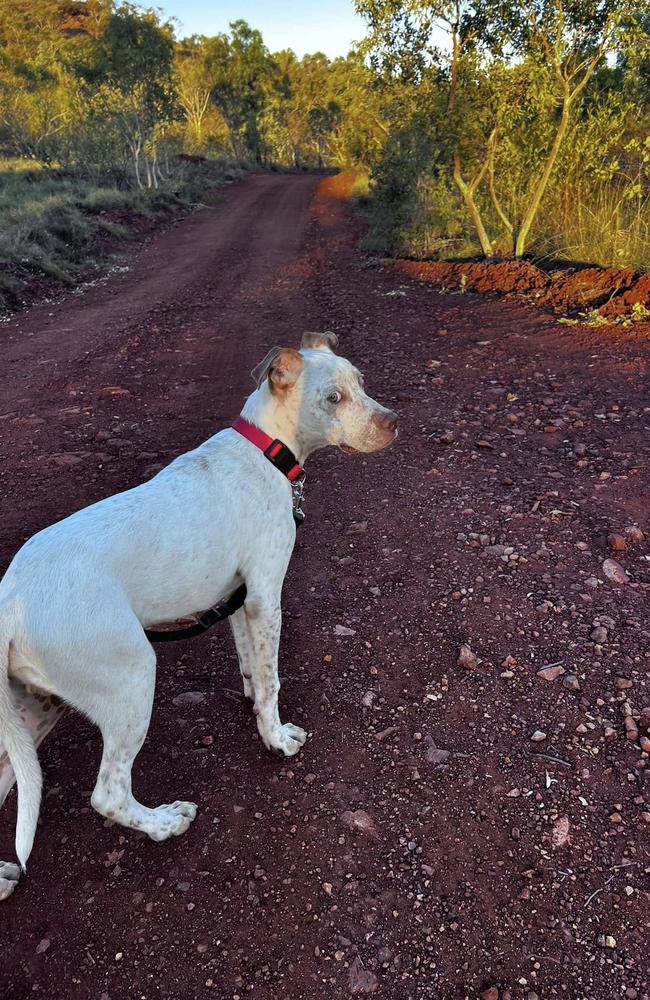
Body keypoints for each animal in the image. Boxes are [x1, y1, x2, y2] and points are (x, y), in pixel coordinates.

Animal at [0, 334, 394, 900]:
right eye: (333, 398)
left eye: (361, 382)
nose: (393, 423)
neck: (267, 451)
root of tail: (10, 599)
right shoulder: (266, 595)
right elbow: (273, 679)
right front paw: (276, 739)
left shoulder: (237, 600)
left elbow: (252, 667)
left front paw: (254, 705)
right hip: (130, 678)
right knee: (108, 793)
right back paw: (165, 822)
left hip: (32, 710)